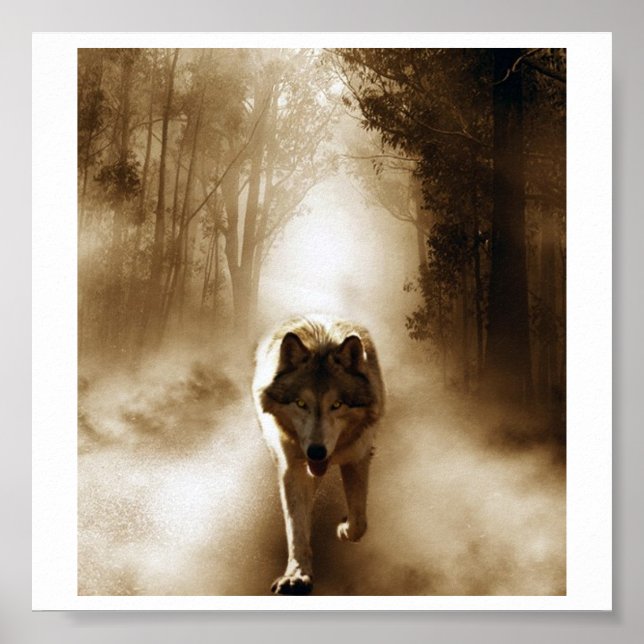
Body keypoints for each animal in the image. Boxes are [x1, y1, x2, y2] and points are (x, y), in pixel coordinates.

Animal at [252, 315, 385, 595]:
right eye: (301, 404)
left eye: (337, 405)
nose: (316, 451)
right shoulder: (293, 467)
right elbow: (296, 526)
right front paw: (296, 576)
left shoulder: (358, 456)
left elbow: (359, 520)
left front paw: (345, 528)